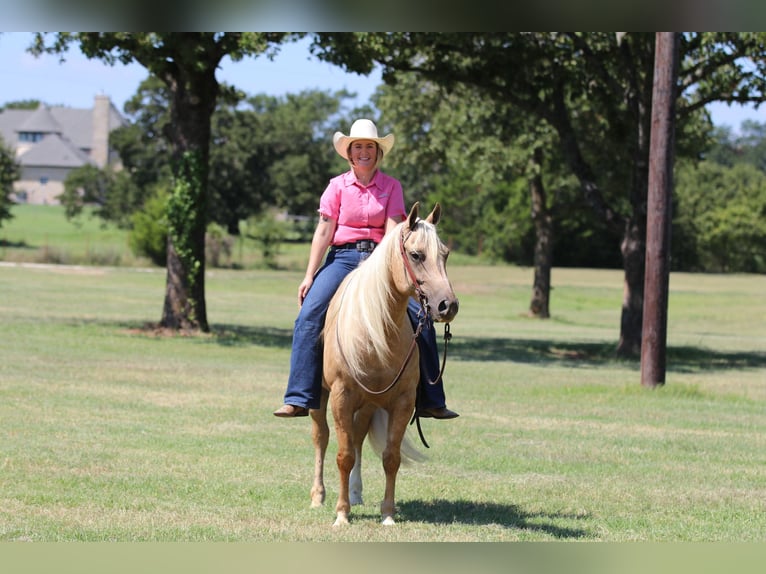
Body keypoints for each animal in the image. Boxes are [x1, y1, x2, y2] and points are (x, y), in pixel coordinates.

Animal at [309, 202, 459, 526]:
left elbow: (390, 457)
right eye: (416, 255)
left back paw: (355, 493)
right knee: (322, 438)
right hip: (321, 398)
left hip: (367, 405)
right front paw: (342, 515)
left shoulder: (402, 401)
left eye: (445, 253)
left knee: (357, 439)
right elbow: (342, 455)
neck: (374, 330)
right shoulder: (341, 396)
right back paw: (319, 496)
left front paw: (387, 514)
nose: (448, 306)